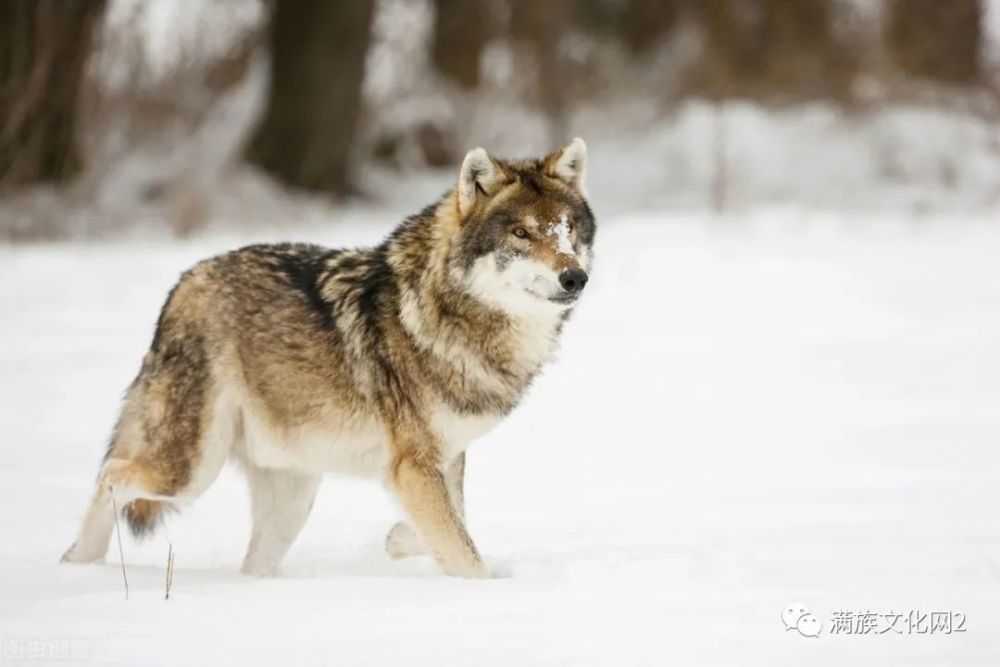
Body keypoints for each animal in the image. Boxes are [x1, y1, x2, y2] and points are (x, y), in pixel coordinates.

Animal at [60, 138, 592, 576]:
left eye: (568, 229)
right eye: (522, 234)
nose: (575, 277)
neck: (448, 312)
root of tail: (184, 283)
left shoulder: (443, 460)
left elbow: (450, 522)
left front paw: (398, 539)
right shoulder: (413, 467)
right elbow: (464, 553)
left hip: (290, 501)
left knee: (252, 564)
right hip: (189, 471)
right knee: (112, 474)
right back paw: (77, 564)